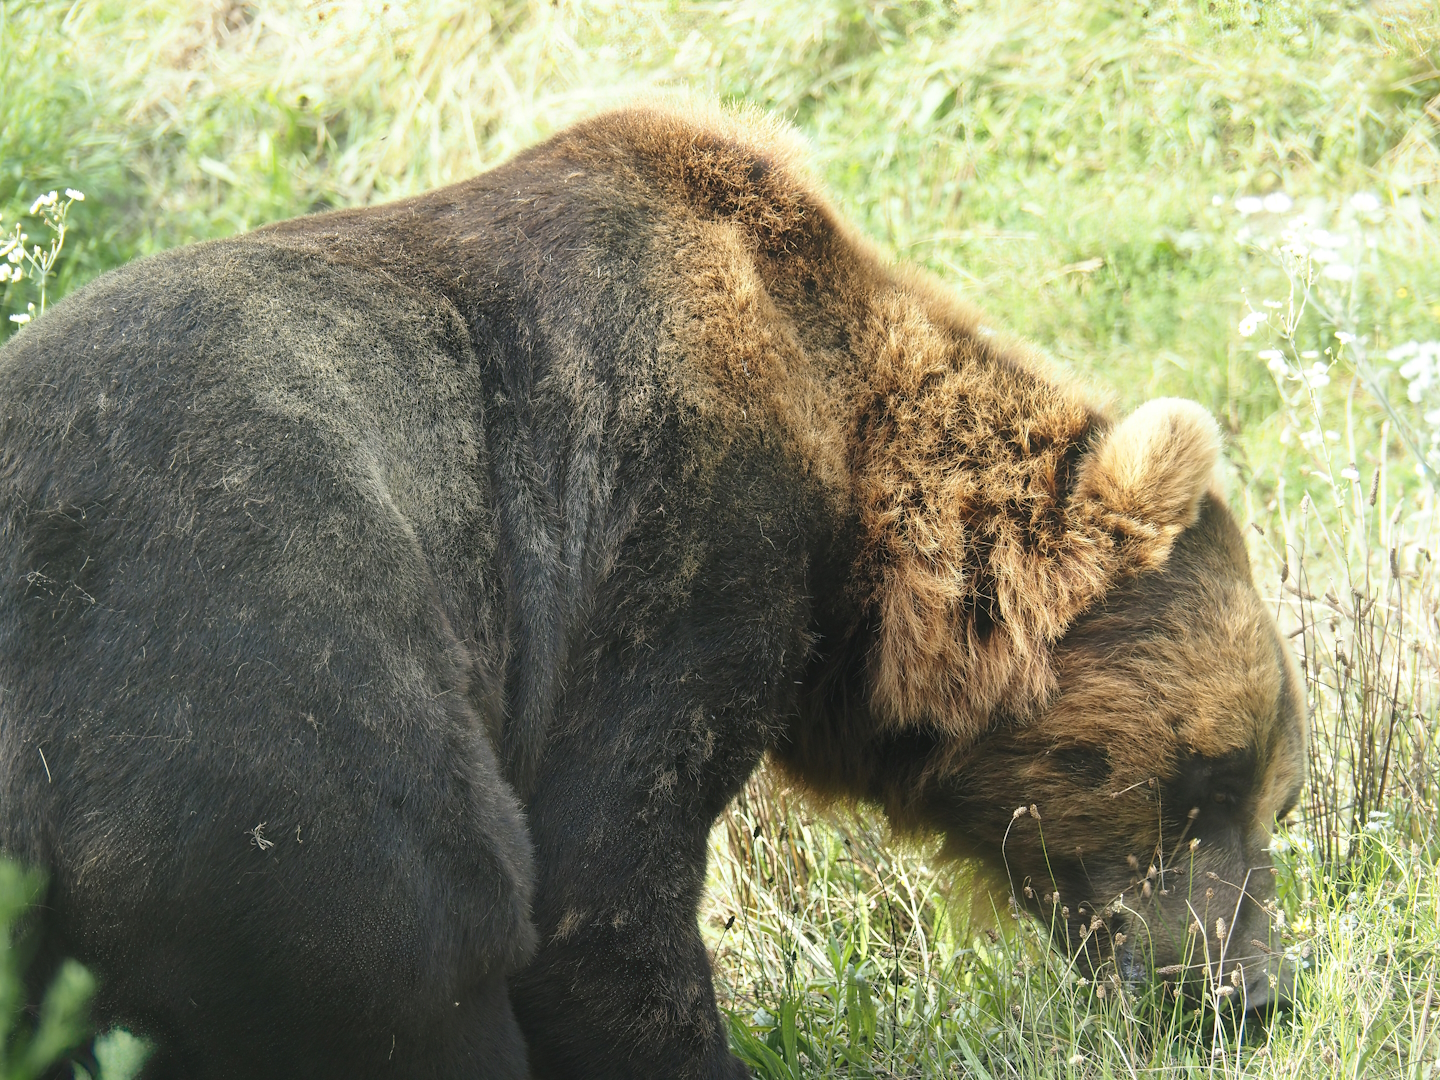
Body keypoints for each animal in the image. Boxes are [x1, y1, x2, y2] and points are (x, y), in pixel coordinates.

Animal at [0, 102, 1304, 1079]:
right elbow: (602, 877)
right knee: (431, 948)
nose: (1252, 994)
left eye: (1274, 791)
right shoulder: (675, 523)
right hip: (265, 738)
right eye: (1212, 775)